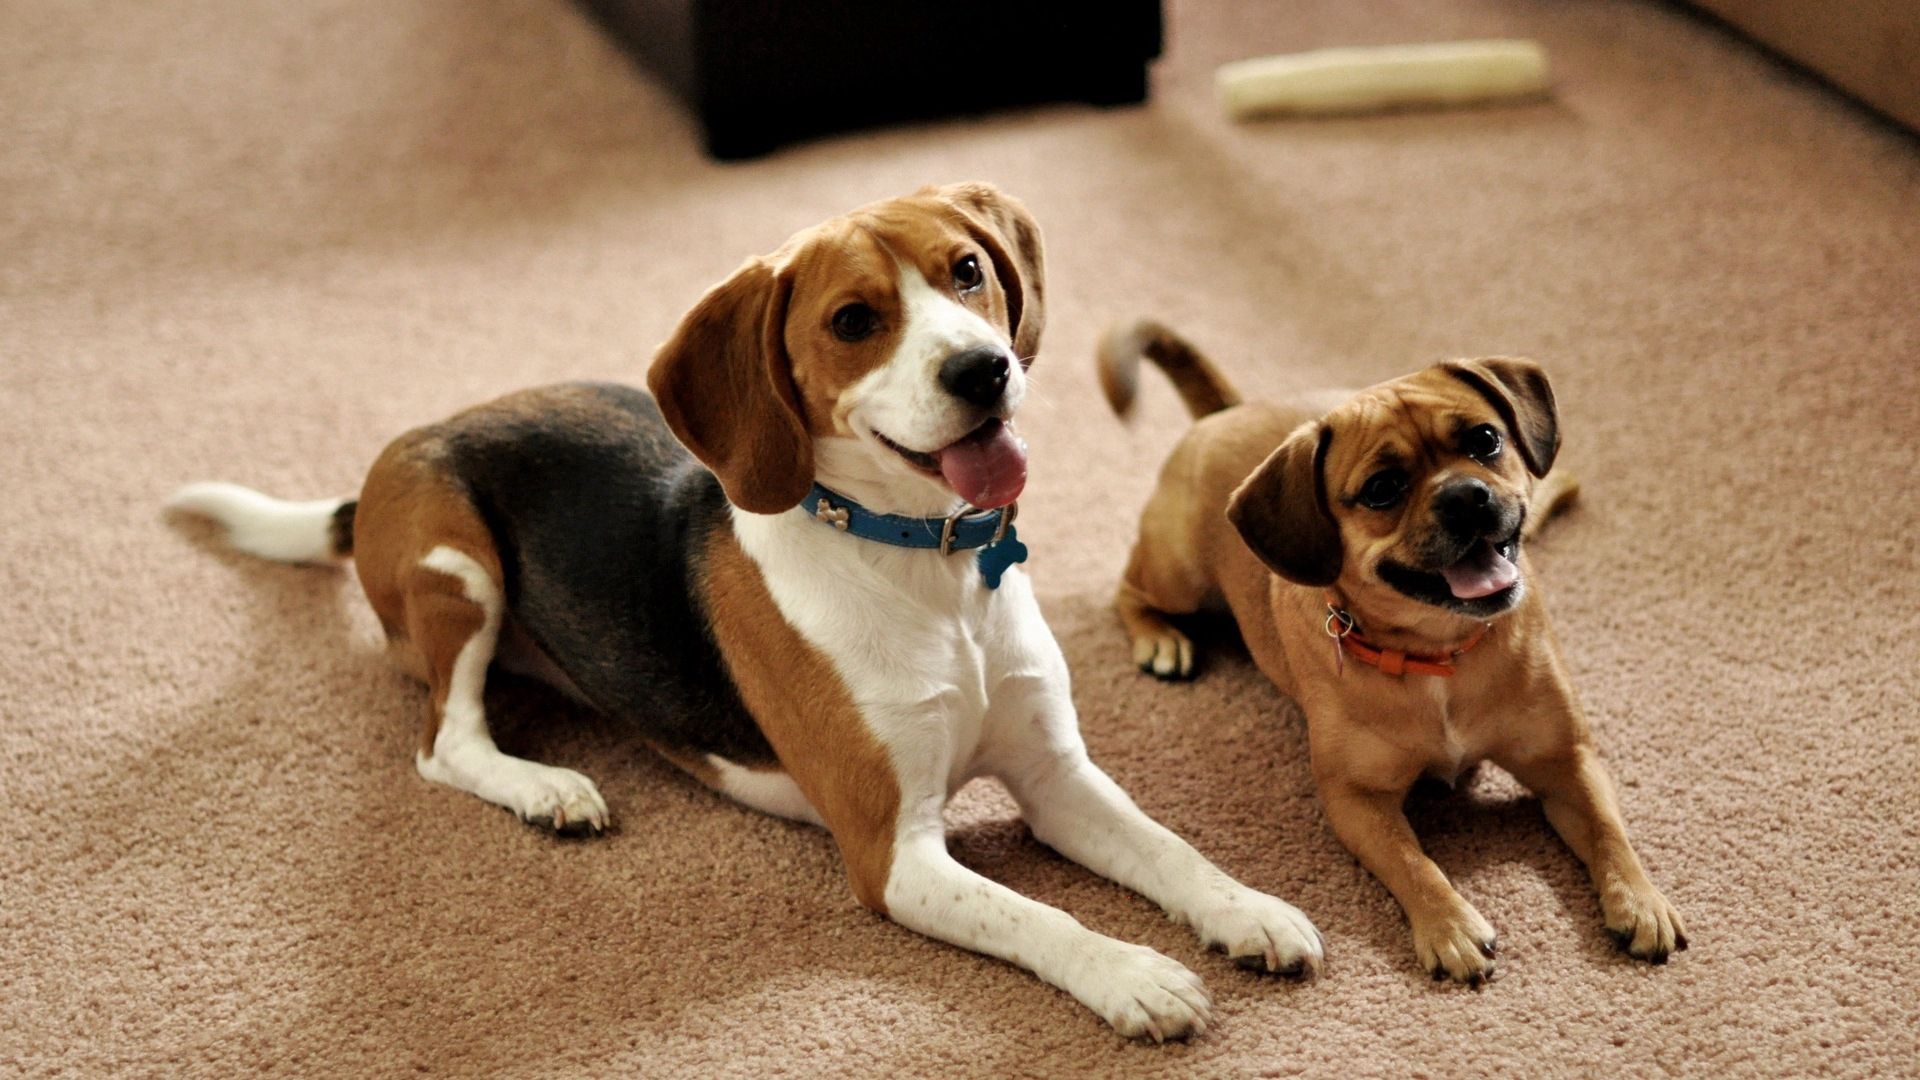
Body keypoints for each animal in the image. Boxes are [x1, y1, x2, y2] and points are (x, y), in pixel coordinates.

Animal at [1105, 315, 1689, 980]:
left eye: (1485, 440)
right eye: (1382, 490)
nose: (1465, 495)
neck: (1441, 651)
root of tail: (1228, 410)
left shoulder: (1565, 760)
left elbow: (1609, 832)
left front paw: (1639, 901)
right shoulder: (1357, 800)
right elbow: (1413, 862)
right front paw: (1450, 926)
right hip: (1179, 576)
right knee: (1127, 589)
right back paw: (1161, 640)